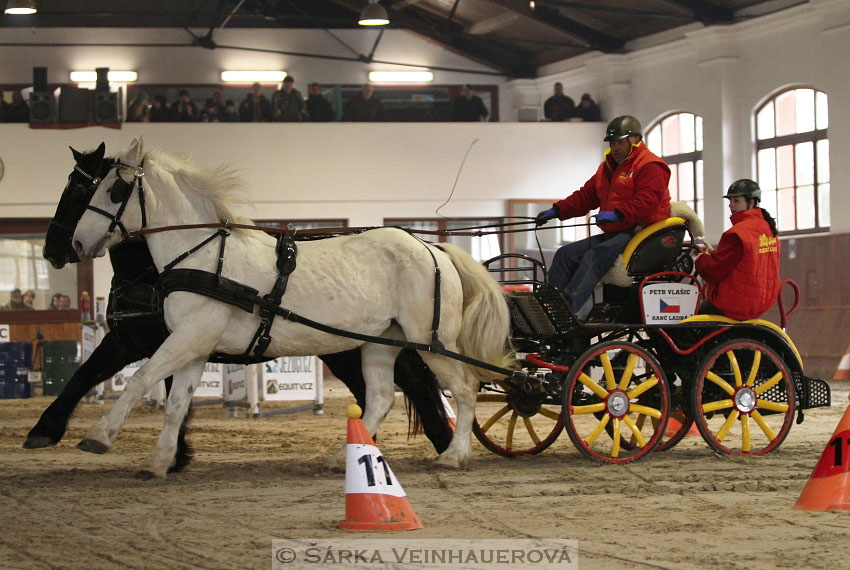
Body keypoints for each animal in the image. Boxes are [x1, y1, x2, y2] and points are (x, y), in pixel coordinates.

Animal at [69, 140, 510, 478]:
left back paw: (454, 455)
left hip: (432, 341)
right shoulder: (193, 344)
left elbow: (139, 379)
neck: (206, 255)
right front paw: (159, 462)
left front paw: (99, 436)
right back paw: (343, 457)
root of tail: (433, 248)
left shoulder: (190, 337)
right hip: (381, 342)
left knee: (465, 387)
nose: (76, 244)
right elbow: (176, 404)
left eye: (113, 190)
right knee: (382, 397)